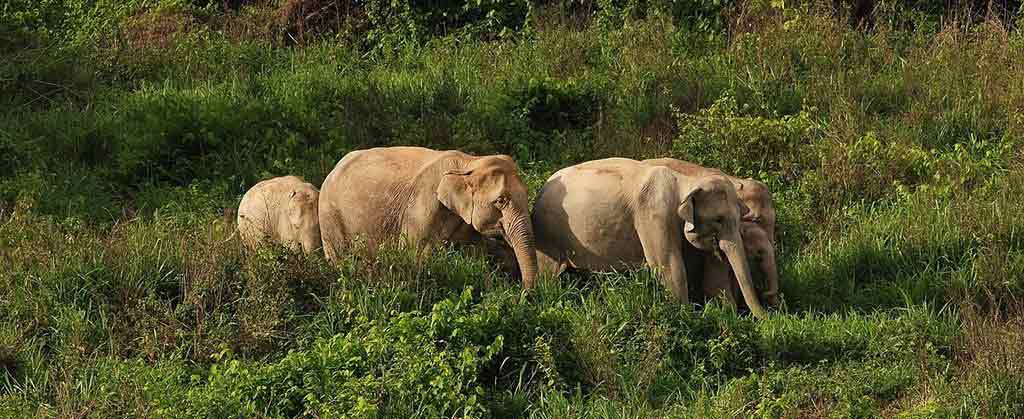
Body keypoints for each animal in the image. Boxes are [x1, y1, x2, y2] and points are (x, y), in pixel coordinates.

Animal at [319, 145, 544, 284]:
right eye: (500, 201)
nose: (521, 293)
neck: (469, 162)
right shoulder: (423, 207)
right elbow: (415, 257)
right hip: (329, 217)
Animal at [532, 156, 765, 317]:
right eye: (718, 219)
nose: (769, 318)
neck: (686, 179)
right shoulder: (654, 214)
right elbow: (668, 266)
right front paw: (687, 317)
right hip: (547, 233)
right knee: (547, 273)